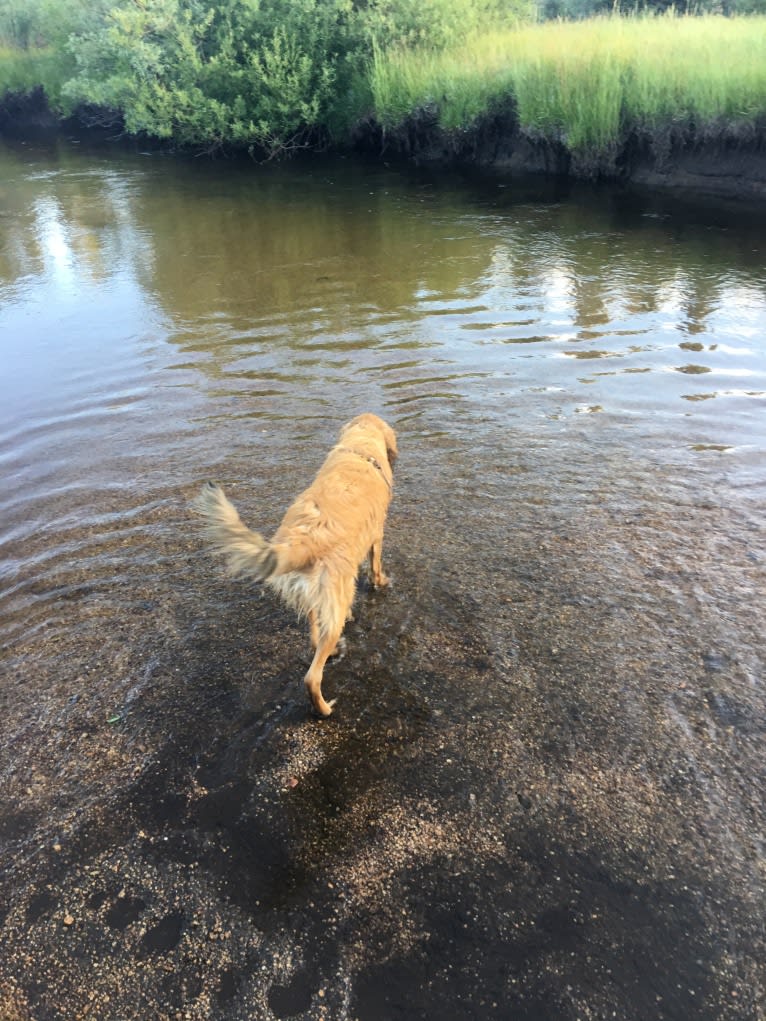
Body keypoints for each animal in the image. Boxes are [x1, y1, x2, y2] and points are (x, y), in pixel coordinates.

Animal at [192, 410, 398, 714]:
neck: (358, 448)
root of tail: (304, 540)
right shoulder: (377, 535)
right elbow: (376, 566)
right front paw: (381, 582)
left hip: (310, 593)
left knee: (314, 637)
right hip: (332, 601)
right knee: (312, 676)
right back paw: (324, 709)